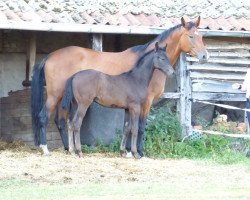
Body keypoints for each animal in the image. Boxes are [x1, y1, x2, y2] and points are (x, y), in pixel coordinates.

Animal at [30, 16, 208, 155]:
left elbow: (128, 126)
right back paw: (46, 148)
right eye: (191, 36)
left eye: (201, 37)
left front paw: (127, 150)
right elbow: (140, 126)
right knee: (44, 117)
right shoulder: (146, 102)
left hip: (64, 98)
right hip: (55, 95)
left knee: (61, 121)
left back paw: (69, 148)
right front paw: (138, 151)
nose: (205, 56)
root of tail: (50, 56)